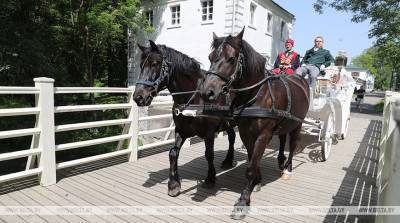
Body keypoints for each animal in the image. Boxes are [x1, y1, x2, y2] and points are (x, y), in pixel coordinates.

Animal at [133, 40, 236, 197]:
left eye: (155, 63)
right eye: (141, 65)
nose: (138, 97)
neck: (194, 97)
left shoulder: (209, 133)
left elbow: (209, 154)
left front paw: (210, 178)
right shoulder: (181, 130)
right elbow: (173, 153)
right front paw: (173, 184)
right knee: (232, 136)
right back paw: (228, 160)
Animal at [200, 28, 310, 219]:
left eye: (232, 58)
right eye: (210, 56)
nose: (208, 92)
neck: (257, 95)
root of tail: (300, 79)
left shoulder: (263, 135)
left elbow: (251, 167)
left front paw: (243, 200)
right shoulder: (246, 133)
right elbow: (252, 158)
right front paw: (257, 181)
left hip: (297, 124)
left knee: (293, 144)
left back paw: (287, 168)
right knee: (282, 140)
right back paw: (280, 160)